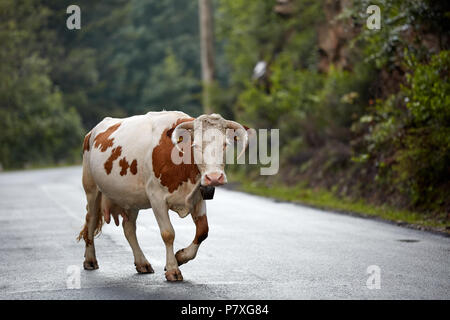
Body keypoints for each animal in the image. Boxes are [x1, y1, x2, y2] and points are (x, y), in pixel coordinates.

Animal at [76, 111, 248, 282]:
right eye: (196, 146)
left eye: (225, 145)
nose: (214, 177)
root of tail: (92, 131)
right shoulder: (156, 198)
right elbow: (168, 233)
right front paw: (173, 269)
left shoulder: (198, 196)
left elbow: (203, 231)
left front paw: (181, 257)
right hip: (91, 188)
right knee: (91, 220)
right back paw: (90, 260)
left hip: (131, 197)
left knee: (129, 228)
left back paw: (142, 263)